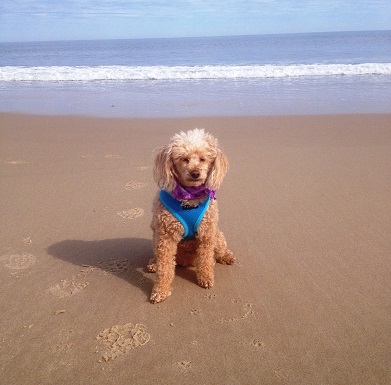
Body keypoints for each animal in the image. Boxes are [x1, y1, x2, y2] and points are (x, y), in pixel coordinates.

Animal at [148, 129, 234, 304]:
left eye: (203, 159)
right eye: (184, 159)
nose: (195, 173)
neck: (189, 198)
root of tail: (186, 261)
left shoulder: (207, 233)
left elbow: (206, 259)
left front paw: (206, 278)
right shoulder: (165, 236)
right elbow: (164, 268)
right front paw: (160, 290)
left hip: (216, 235)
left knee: (218, 251)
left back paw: (226, 257)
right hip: (156, 237)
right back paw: (154, 263)